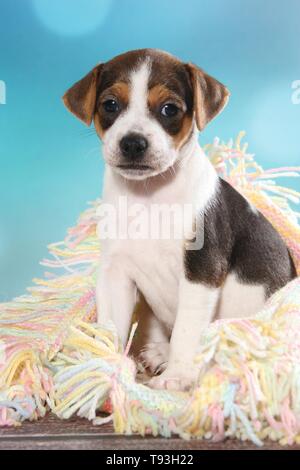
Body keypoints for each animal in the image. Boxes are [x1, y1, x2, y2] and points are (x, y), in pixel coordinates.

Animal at [62, 49, 296, 392]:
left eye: (169, 109)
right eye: (110, 105)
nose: (133, 142)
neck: (149, 197)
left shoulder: (202, 270)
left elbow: (187, 331)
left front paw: (178, 376)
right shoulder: (115, 273)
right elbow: (110, 325)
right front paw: (104, 366)